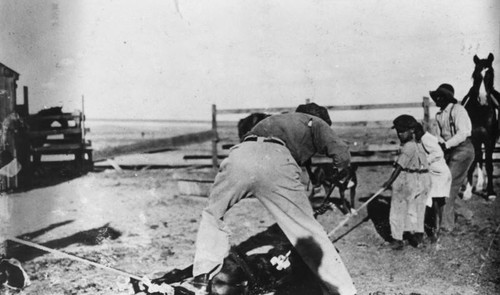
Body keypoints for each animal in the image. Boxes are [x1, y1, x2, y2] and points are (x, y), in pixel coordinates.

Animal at [460, 53, 500, 201]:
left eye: (491, 74)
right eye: (475, 75)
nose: (482, 99)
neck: (481, 112)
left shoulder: (490, 139)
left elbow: (489, 164)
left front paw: (491, 192)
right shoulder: (473, 138)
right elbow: (473, 162)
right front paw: (467, 192)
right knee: (478, 157)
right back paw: (478, 185)